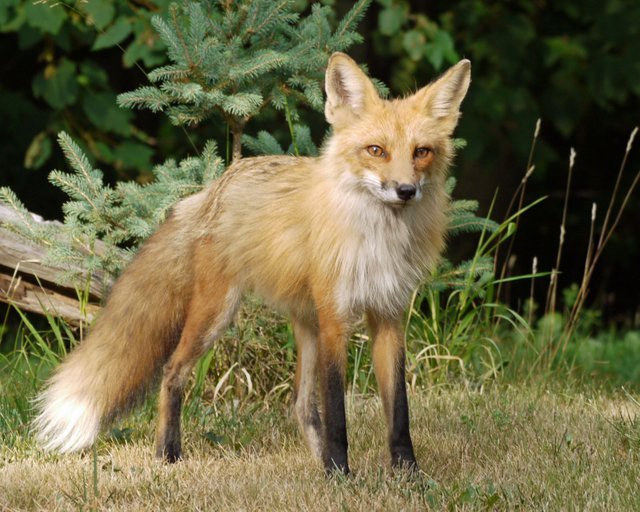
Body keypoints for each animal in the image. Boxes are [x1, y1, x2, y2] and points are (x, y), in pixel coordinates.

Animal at [33, 52, 471, 474]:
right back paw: (167, 454)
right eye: (376, 151)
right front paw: (341, 474)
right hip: (218, 312)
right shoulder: (336, 319)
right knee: (172, 372)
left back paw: (317, 464)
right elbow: (338, 413)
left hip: (305, 324)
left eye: (422, 152)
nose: (406, 190)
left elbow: (398, 413)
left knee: (301, 406)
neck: (378, 240)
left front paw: (407, 476)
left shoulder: (389, 316)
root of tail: (215, 185)